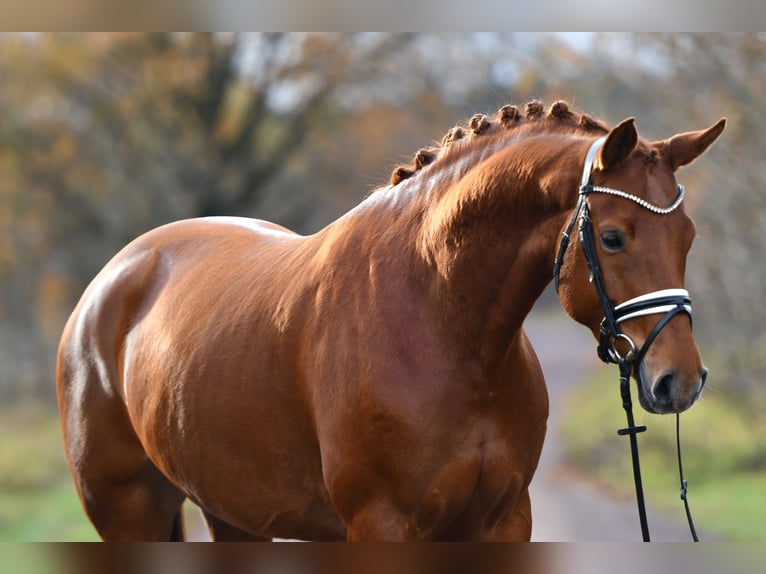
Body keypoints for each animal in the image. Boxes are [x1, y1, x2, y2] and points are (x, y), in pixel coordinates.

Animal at [56, 99, 725, 541]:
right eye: (612, 237)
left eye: (689, 236)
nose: (680, 380)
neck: (440, 327)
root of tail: (111, 281)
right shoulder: (382, 527)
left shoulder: (502, 520)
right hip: (129, 511)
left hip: (232, 513)